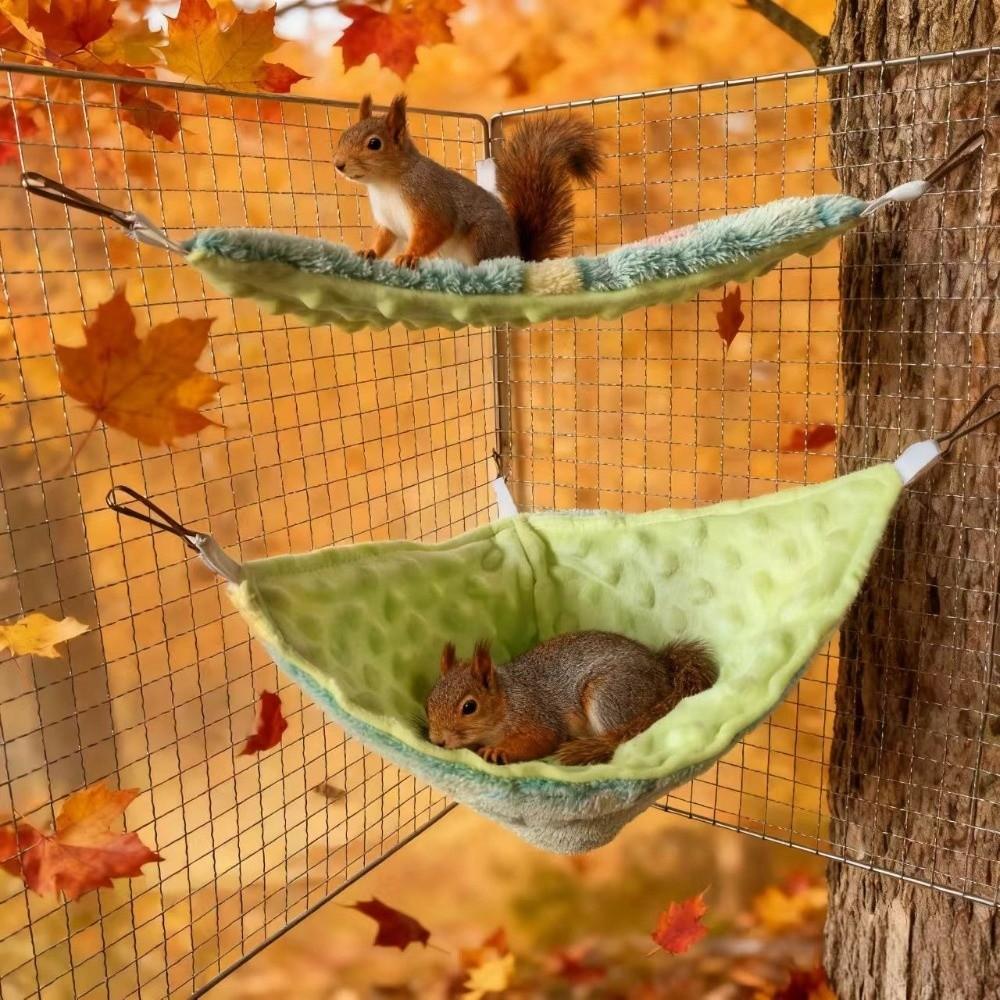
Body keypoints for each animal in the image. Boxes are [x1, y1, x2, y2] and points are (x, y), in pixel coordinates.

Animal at [333, 93, 602, 268]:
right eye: (343, 136)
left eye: (374, 143)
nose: (338, 164)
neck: (385, 184)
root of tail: (518, 255)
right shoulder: (387, 221)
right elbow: (384, 239)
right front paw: (369, 252)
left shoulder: (429, 198)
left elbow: (436, 227)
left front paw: (409, 256)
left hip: (484, 237)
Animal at [425, 631, 718, 766]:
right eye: (428, 702)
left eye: (469, 707)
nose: (437, 741)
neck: (507, 700)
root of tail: (665, 675)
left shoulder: (537, 716)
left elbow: (541, 739)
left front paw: (500, 751)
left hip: (608, 696)